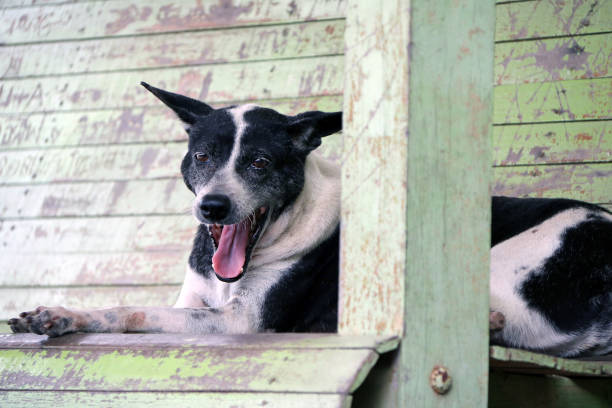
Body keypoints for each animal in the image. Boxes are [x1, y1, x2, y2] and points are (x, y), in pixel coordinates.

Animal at [5, 83, 612, 356]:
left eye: (259, 162)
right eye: (201, 155)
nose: (212, 207)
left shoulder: (238, 324)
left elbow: (130, 309)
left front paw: (64, 314)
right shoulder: (195, 299)